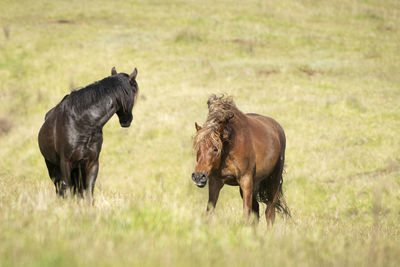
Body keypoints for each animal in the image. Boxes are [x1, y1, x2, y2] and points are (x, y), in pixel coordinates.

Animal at [38, 67, 139, 201]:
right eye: (134, 92)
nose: (127, 121)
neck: (83, 123)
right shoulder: (65, 163)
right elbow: (68, 191)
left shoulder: (92, 163)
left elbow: (89, 194)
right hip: (53, 168)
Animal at [191, 95, 290, 227]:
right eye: (198, 147)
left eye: (215, 149)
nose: (198, 176)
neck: (229, 147)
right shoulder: (215, 182)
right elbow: (209, 213)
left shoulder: (245, 180)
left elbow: (246, 215)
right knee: (256, 210)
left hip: (273, 180)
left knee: (269, 212)